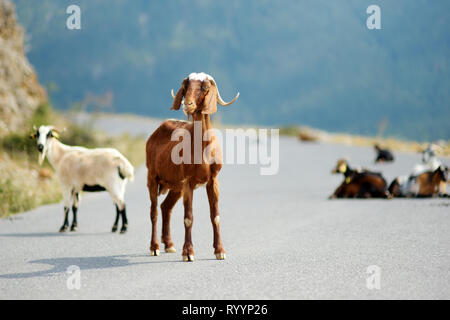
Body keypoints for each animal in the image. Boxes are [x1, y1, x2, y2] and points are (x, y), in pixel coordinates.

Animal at [147, 73, 239, 262]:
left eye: (204, 87)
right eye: (186, 86)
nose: (187, 104)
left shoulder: (212, 180)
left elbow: (215, 216)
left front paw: (220, 251)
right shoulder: (188, 181)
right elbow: (188, 217)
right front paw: (188, 253)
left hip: (175, 186)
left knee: (165, 207)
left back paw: (169, 245)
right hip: (152, 177)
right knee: (154, 211)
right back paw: (155, 247)